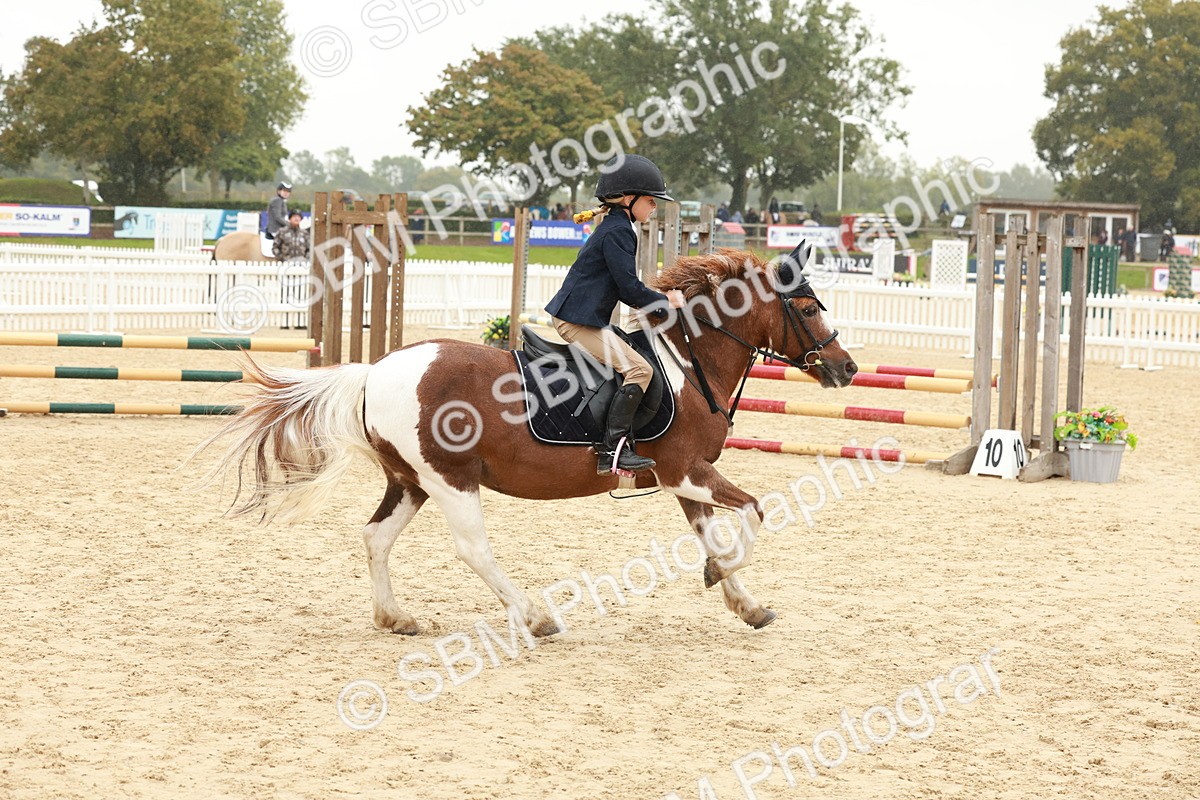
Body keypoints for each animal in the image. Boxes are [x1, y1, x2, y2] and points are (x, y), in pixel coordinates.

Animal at [192, 245, 859, 636]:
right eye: (806, 307)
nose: (847, 368)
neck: (691, 362)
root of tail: (376, 370)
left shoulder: (687, 480)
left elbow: (717, 534)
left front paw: (743, 601)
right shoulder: (683, 470)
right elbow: (752, 513)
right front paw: (720, 578)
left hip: (412, 481)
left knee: (375, 537)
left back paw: (395, 617)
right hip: (451, 480)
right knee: (473, 551)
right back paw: (535, 616)